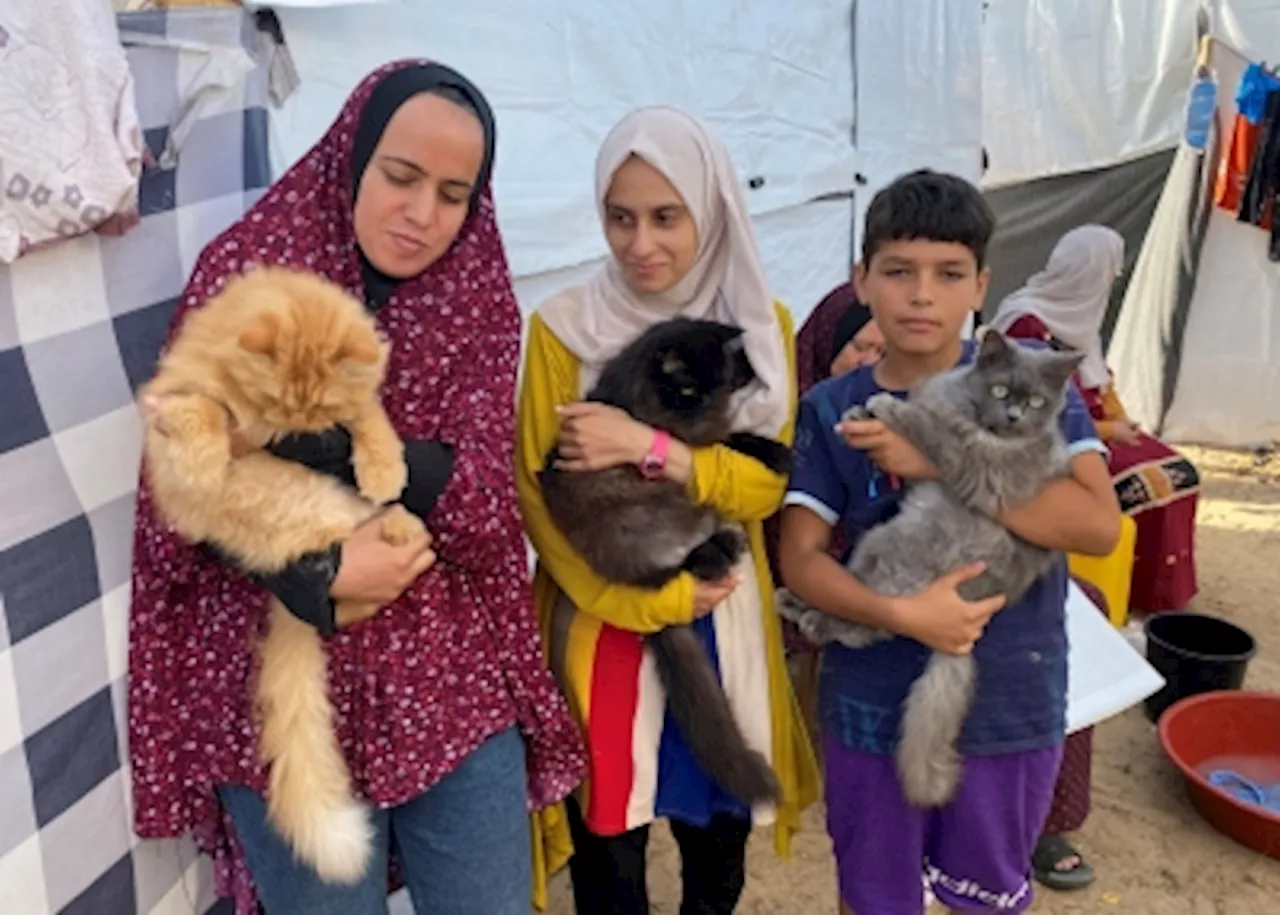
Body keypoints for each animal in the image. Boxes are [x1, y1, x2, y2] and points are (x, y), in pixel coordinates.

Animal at [140, 266, 419, 885]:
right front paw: (203, 459)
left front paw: (383, 468)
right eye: (280, 401)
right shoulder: (180, 398)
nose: (301, 430)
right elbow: (201, 411)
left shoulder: (359, 408)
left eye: (320, 405)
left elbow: (371, 418)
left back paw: (401, 525)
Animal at [537, 318, 788, 803]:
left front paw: (775, 451)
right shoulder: (693, 437)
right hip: (638, 526)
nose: (700, 403)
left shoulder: (702, 438)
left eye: (711, 380)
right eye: (687, 387)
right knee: (677, 568)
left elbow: (732, 440)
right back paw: (716, 553)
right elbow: (724, 440)